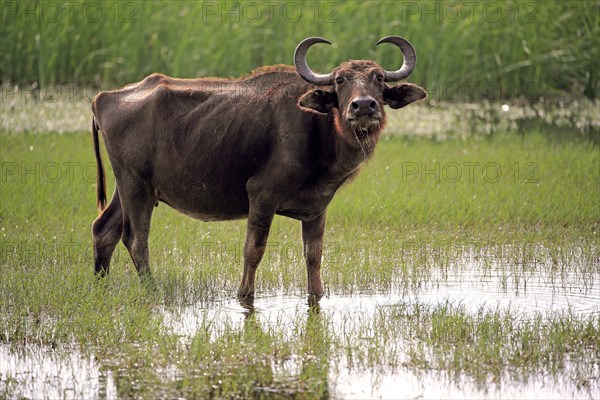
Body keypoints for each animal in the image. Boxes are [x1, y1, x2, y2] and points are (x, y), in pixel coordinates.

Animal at [90, 36, 426, 296]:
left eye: (378, 78)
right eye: (340, 80)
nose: (363, 105)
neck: (317, 130)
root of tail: (103, 97)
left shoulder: (317, 208)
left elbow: (313, 255)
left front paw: (316, 294)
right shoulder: (262, 196)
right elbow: (253, 250)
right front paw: (244, 295)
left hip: (127, 187)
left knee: (103, 230)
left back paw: (101, 285)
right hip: (136, 185)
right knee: (135, 238)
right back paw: (152, 288)